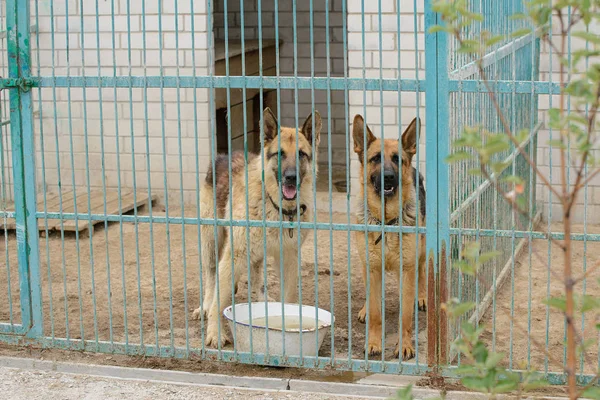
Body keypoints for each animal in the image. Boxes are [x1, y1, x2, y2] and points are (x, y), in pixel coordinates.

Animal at [195, 106, 322, 346]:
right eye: (279, 154)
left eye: (301, 154)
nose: (291, 178)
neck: (277, 208)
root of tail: (224, 156)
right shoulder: (233, 254)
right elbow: (218, 299)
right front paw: (215, 333)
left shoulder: (288, 258)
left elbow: (288, 300)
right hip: (212, 242)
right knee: (211, 275)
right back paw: (204, 306)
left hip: (257, 252)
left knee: (256, 278)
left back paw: (262, 300)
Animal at [352, 113, 426, 360]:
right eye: (375, 158)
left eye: (397, 159)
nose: (388, 177)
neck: (386, 222)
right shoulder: (373, 267)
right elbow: (376, 312)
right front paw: (373, 343)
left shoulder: (407, 269)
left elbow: (405, 316)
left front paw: (404, 345)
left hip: (422, 253)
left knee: (422, 272)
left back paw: (422, 296)